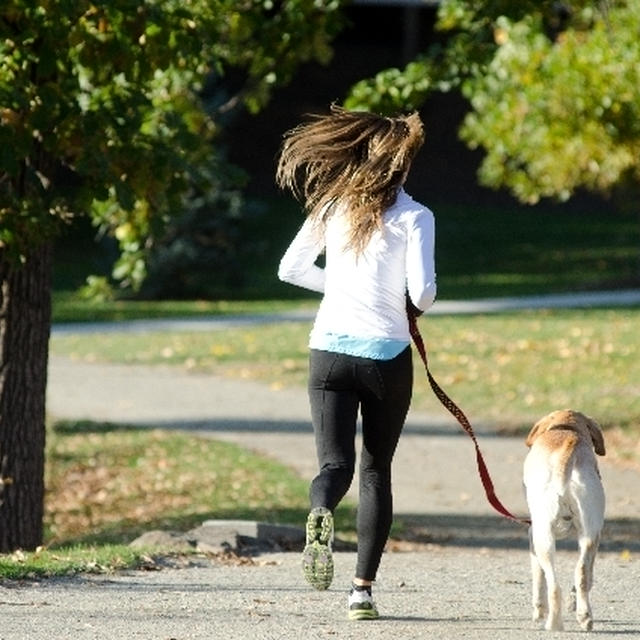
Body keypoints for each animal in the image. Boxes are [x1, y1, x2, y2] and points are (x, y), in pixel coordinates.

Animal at [520, 410, 604, 632]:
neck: (566, 428)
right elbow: (587, 577)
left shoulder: (532, 536)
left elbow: (538, 579)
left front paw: (538, 611)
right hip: (590, 536)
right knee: (582, 573)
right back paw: (584, 616)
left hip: (543, 539)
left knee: (553, 585)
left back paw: (553, 623)